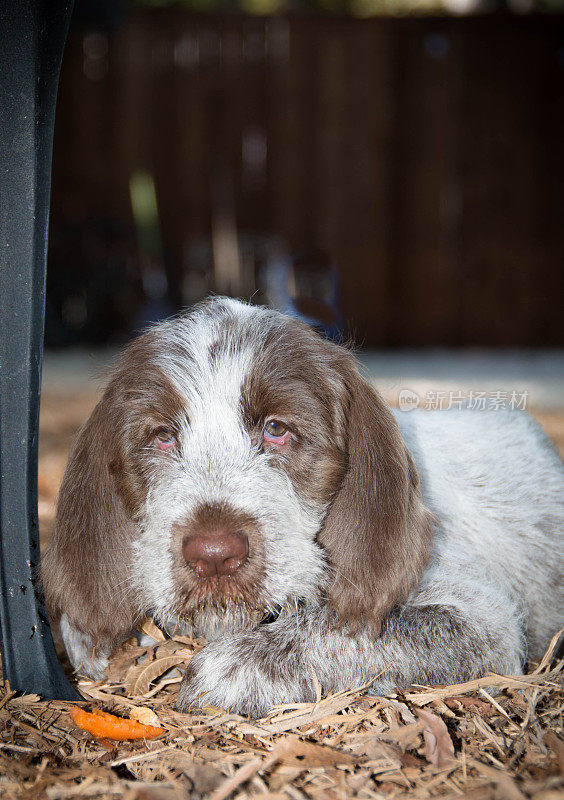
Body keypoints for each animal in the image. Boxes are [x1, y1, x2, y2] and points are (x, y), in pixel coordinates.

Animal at [41, 296, 564, 716]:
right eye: (163, 436)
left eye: (277, 429)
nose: (214, 555)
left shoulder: (483, 623)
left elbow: (355, 631)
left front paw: (232, 668)